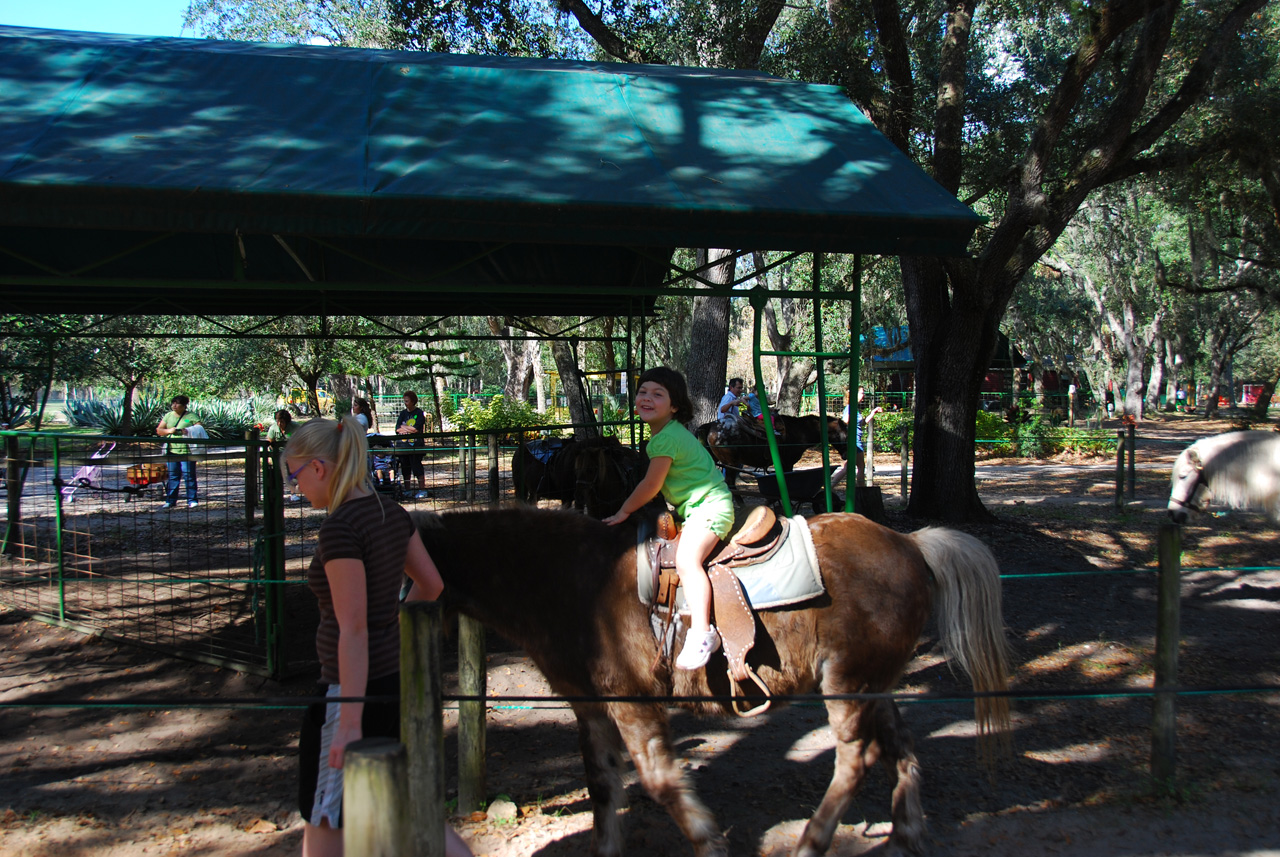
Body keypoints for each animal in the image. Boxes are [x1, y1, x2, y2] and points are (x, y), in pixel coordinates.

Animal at [417, 506, 1008, 854]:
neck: (573, 580)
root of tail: (912, 544)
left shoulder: (632, 703)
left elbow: (658, 781)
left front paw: (708, 841)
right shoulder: (592, 706)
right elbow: (603, 785)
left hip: (848, 683)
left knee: (856, 759)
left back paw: (812, 842)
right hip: (875, 684)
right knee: (900, 749)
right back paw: (907, 833)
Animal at [696, 414, 844, 493]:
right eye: (845, 434)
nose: (845, 455)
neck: (799, 431)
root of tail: (711, 426)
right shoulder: (788, 463)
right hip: (731, 462)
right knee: (730, 483)